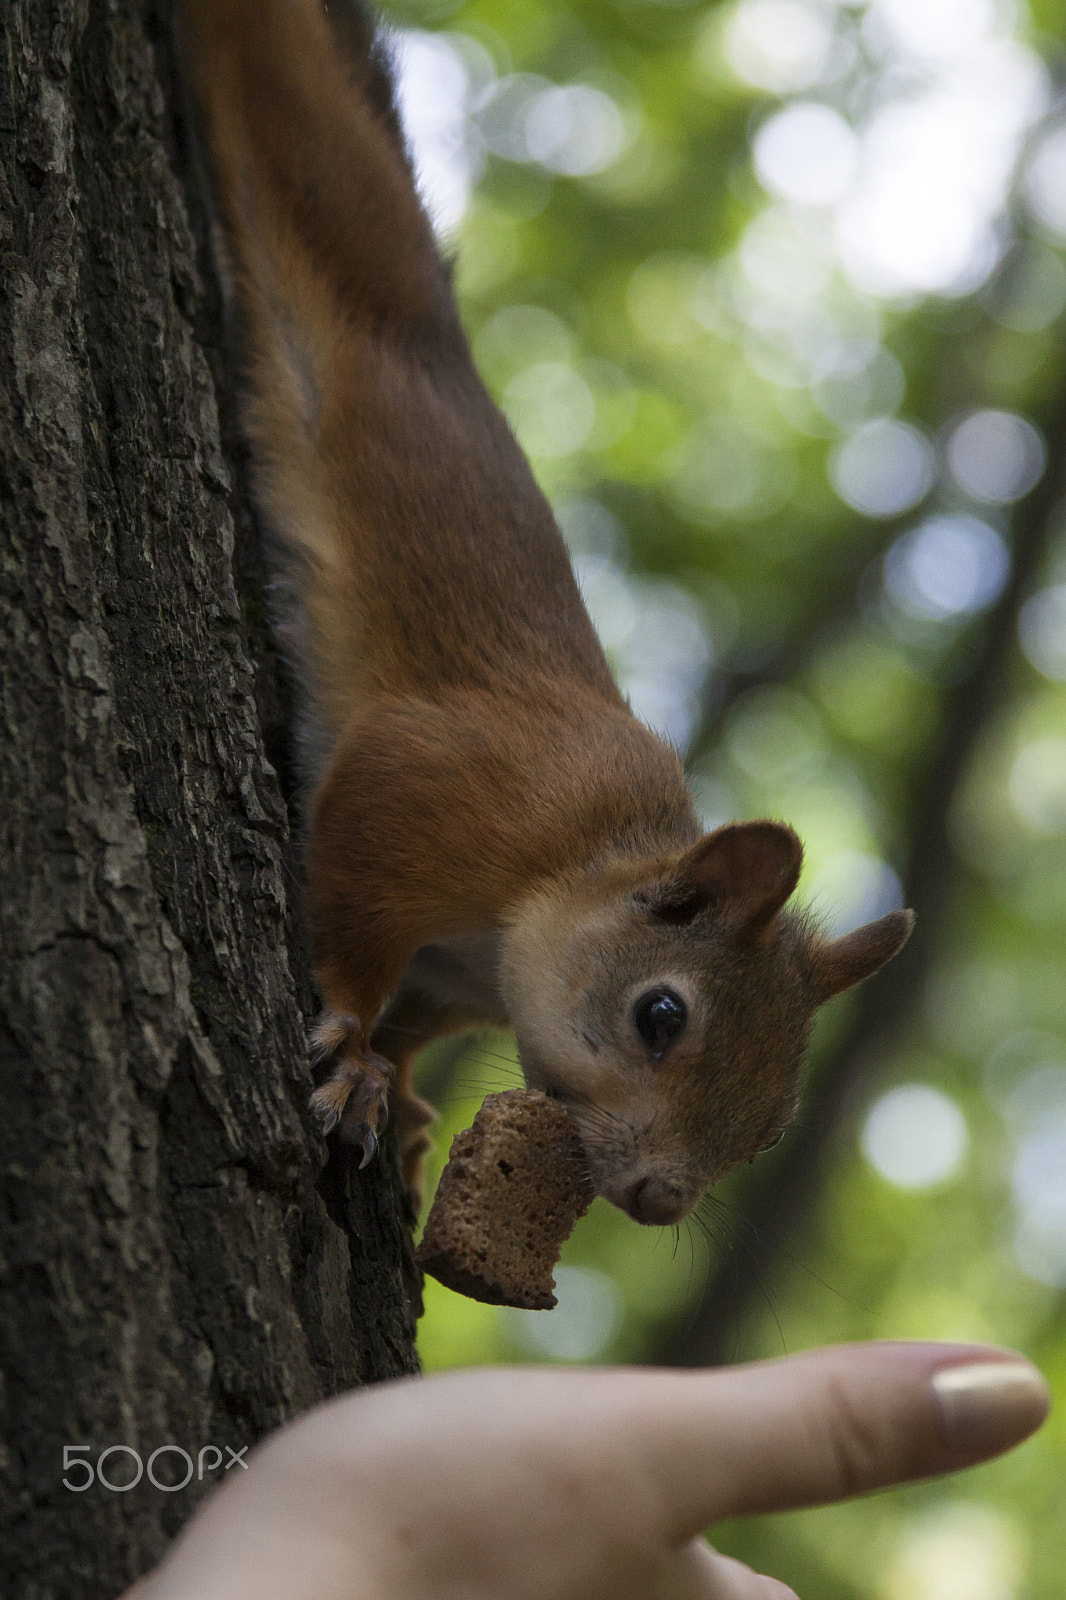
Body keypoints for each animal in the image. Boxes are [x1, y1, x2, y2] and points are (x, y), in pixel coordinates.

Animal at [178, 0, 909, 1222]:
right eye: (659, 1014)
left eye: (773, 1121)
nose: (660, 1200)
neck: (553, 878)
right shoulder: (438, 784)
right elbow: (352, 916)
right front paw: (353, 1045)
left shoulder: (459, 978)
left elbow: (417, 1025)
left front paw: (398, 1094)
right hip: (312, 160)